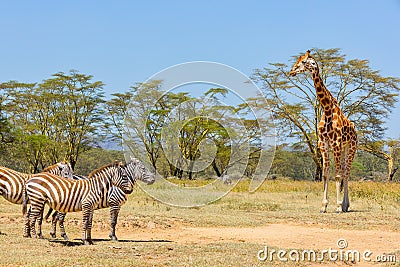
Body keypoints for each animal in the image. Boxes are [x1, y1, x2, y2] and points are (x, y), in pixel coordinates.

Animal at [290, 50, 358, 214]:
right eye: (298, 60)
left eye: (303, 62)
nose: (291, 71)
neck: (326, 109)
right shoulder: (323, 143)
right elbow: (326, 174)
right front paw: (324, 206)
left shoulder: (336, 143)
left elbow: (337, 174)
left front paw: (338, 206)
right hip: (344, 149)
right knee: (345, 172)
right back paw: (345, 205)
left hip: (351, 147)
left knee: (346, 173)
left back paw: (345, 205)